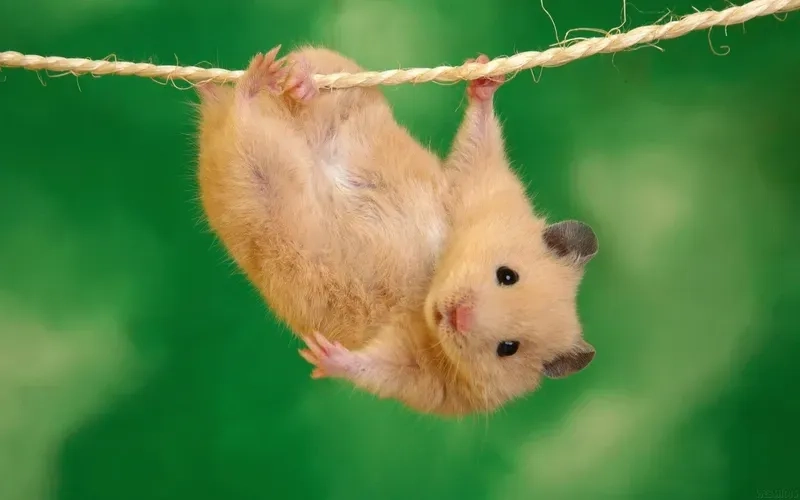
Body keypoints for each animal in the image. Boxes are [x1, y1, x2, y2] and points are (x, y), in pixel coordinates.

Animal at [194, 46, 598, 417]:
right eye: (507, 275)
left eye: (508, 348)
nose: (457, 316)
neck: (430, 284)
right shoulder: (477, 186)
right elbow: (477, 143)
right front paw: (484, 73)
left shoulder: (426, 378)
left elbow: (378, 369)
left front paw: (322, 354)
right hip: (345, 91)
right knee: (314, 72)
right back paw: (288, 78)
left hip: (251, 179)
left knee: (242, 121)